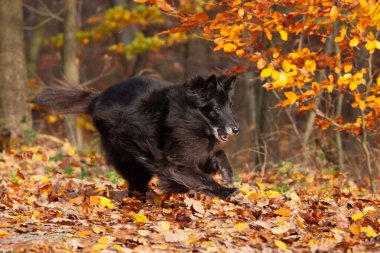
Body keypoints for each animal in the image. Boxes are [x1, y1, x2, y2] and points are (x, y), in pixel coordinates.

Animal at [33, 74, 240, 200]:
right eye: (217, 108)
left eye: (230, 106)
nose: (236, 129)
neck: (188, 115)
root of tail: (97, 98)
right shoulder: (178, 162)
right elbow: (203, 179)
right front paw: (226, 191)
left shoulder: (199, 153)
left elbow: (218, 154)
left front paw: (227, 175)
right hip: (129, 154)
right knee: (135, 181)